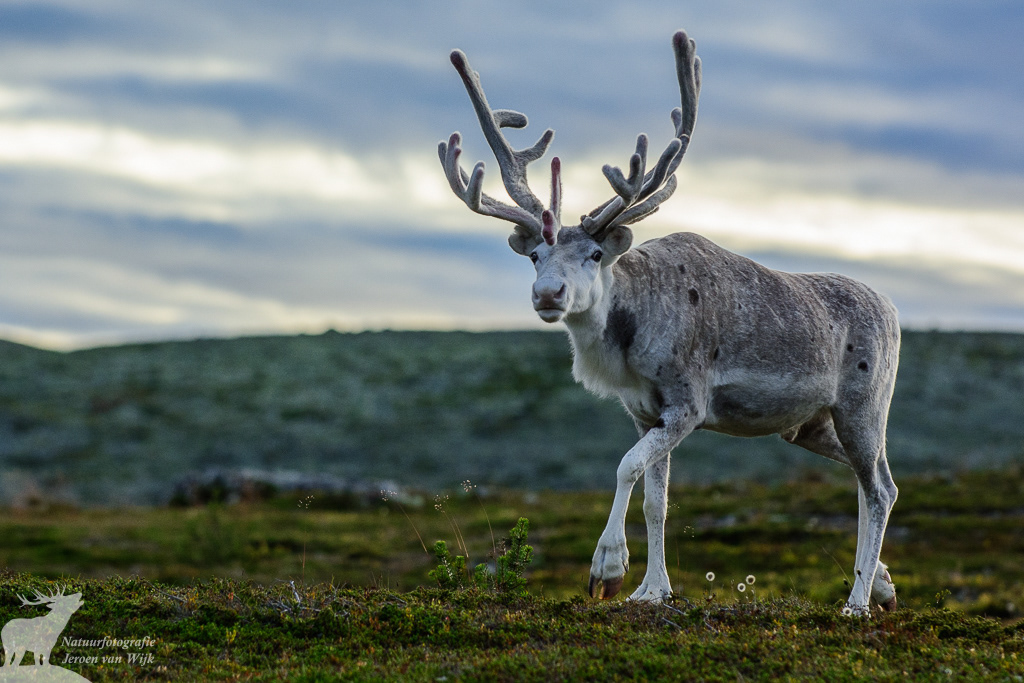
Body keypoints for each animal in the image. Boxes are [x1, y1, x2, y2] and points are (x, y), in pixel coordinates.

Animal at [438, 29, 900, 615]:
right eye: (536, 256)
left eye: (594, 254)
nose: (548, 294)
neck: (629, 342)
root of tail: (892, 310)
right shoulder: (644, 412)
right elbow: (656, 499)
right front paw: (652, 589)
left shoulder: (687, 403)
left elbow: (625, 468)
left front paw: (608, 570)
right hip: (809, 425)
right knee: (874, 480)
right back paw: (881, 582)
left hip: (863, 406)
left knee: (879, 488)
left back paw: (857, 601)